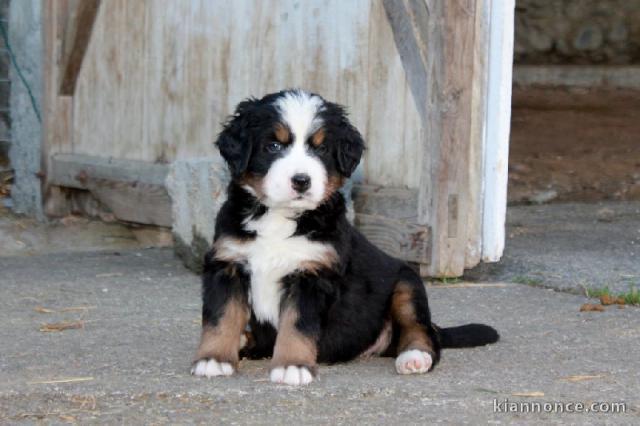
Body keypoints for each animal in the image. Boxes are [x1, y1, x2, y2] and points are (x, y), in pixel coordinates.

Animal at [190, 89, 500, 386]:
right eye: (274, 146)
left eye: (321, 148)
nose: (301, 181)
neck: (281, 217)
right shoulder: (227, 264)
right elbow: (221, 318)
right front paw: (214, 359)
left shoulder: (312, 275)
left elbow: (297, 325)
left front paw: (292, 365)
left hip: (407, 284)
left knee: (422, 330)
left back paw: (414, 357)